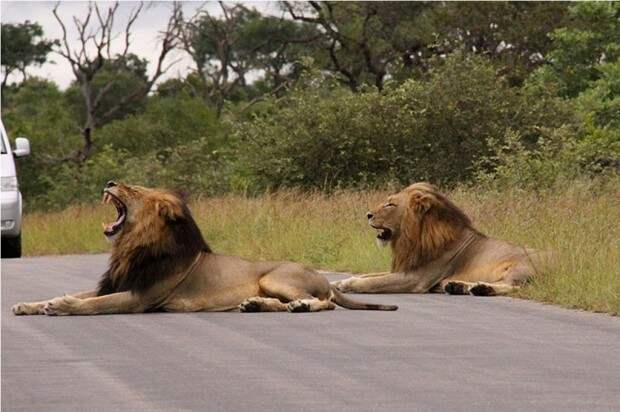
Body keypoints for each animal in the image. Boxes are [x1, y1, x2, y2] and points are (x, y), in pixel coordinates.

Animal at [10, 180, 398, 316]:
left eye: (133, 189)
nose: (108, 182)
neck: (128, 246)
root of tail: (325, 276)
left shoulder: (140, 297)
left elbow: (93, 304)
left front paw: (63, 305)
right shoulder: (116, 283)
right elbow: (78, 293)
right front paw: (28, 304)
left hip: (276, 277)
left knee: (325, 302)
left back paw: (301, 305)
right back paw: (255, 305)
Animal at [332, 183, 544, 296]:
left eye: (390, 204)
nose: (368, 215)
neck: (413, 237)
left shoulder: (416, 279)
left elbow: (373, 282)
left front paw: (349, 285)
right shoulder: (405, 268)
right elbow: (368, 275)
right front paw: (337, 283)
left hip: (521, 266)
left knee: (514, 286)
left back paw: (481, 289)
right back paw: (459, 286)